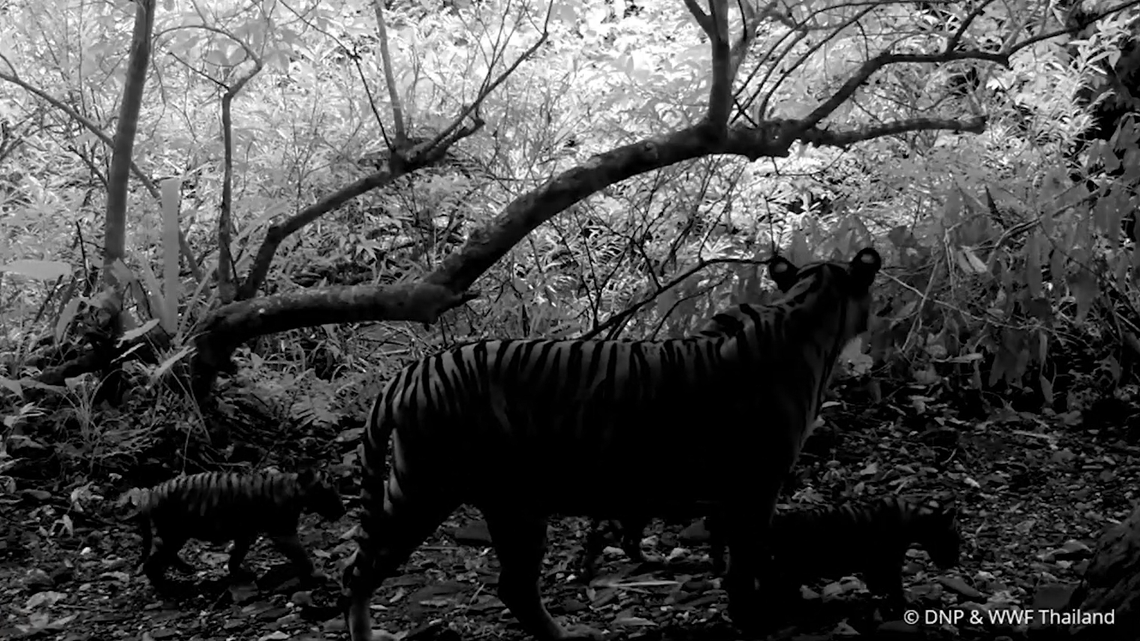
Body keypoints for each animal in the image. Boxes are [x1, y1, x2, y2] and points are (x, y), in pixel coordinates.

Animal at [127, 469, 346, 587]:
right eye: (329, 492)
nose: (343, 510)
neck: (293, 487)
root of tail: (150, 494)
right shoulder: (283, 532)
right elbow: (302, 555)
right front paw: (318, 574)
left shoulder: (245, 533)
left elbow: (237, 554)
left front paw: (238, 572)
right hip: (172, 533)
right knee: (152, 561)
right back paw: (164, 583)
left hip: (176, 535)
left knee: (165, 555)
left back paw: (186, 568)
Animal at [342, 247, 882, 641]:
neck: (807, 309)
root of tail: (407, 374)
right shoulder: (756, 487)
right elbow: (747, 562)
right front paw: (754, 618)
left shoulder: (732, 497)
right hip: (429, 489)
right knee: (363, 573)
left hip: (504, 501)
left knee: (507, 586)